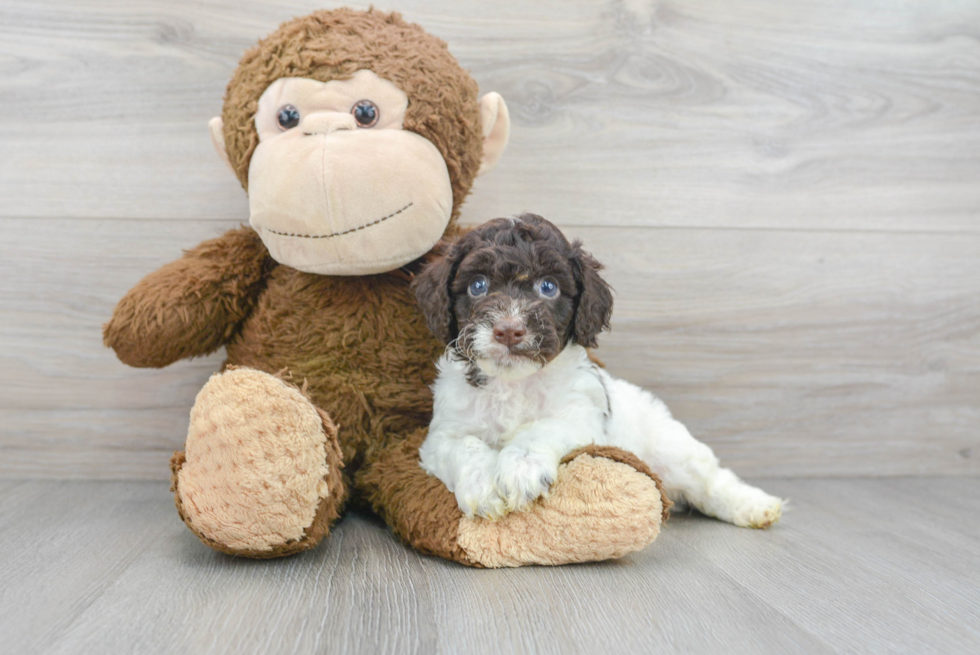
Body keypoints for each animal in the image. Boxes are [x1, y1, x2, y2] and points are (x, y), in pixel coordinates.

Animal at [412, 215, 780, 528]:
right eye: (478, 285)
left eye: (548, 287)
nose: (509, 330)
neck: (514, 382)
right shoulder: (440, 437)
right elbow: (465, 446)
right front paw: (482, 486)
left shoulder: (580, 419)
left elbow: (539, 429)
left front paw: (520, 470)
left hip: (672, 449)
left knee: (711, 480)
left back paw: (756, 506)